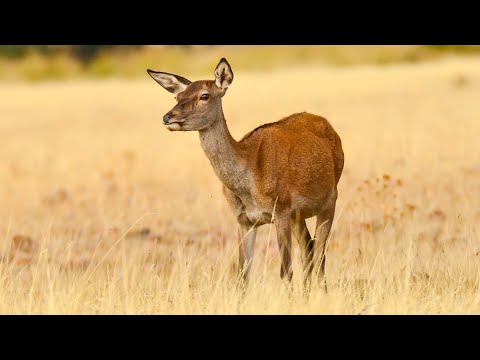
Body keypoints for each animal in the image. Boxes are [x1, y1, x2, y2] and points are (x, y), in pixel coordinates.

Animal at [147, 57, 344, 292]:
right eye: (177, 96)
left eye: (204, 95)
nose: (168, 117)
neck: (247, 184)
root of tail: (330, 127)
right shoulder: (244, 220)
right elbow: (242, 276)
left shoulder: (281, 210)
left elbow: (285, 271)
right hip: (299, 214)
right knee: (309, 247)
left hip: (329, 200)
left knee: (321, 251)